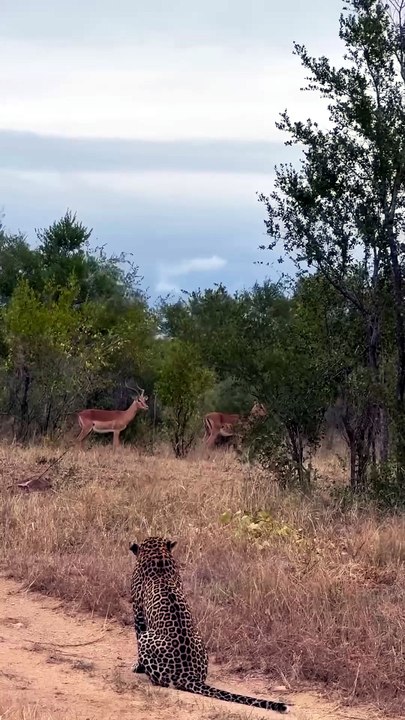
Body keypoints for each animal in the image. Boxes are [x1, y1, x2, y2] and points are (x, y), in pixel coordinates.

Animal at [129, 536, 289, 713]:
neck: (157, 555)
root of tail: (189, 675)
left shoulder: (138, 612)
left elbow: (137, 634)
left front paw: (137, 667)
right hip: (200, 640)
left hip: (146, 638)